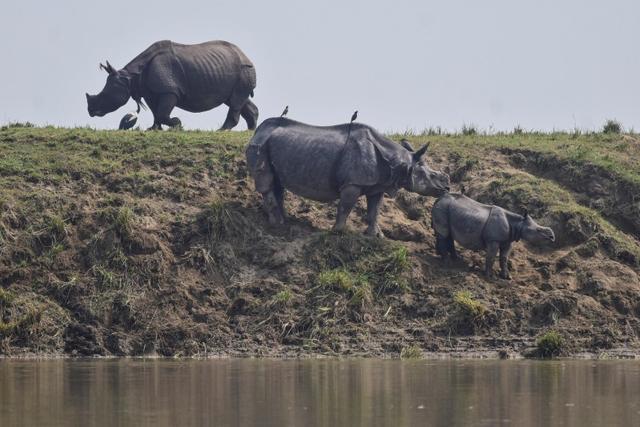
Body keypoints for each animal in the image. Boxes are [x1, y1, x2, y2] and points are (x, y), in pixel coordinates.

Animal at [86, 40, 258, 130]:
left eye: (106, 94)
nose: (90, 111)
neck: (130, 78)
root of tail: (246, 56)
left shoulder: (169, 90)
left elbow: (162, 112)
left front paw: (177, 124)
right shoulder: (150, 92)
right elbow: (156, 112)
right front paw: (154, 129)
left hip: (244, 69)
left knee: (236, 100)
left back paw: (220, 131)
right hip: (233, 70)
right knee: (236, 99)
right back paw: (250, 131)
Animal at [246, 117, 450, 237]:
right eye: (430, 175)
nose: (447, 187)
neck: (400, 161)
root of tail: (257, 132)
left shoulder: (378, 184)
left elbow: (374, 210)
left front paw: (375, 236)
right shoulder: (353, 183)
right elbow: (345, 206)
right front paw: (337, 232)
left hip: (272, 144)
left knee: (277, 183)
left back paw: (285, 221)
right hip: (260, 145)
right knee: (267, 182)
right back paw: (278, 225)